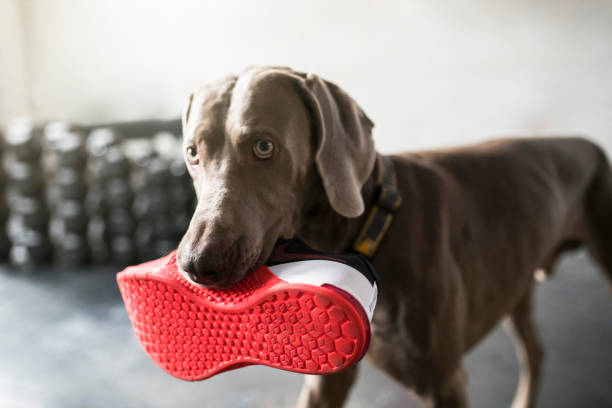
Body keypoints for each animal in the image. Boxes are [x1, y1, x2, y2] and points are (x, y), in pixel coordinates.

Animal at [175, 65, 608, 406]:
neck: (364, 240)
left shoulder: (444, 383)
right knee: (535, 352)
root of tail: (586, 142)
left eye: (264, 146)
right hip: (515, 282)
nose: (197, 264)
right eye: (192, 153)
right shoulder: (327, 376)